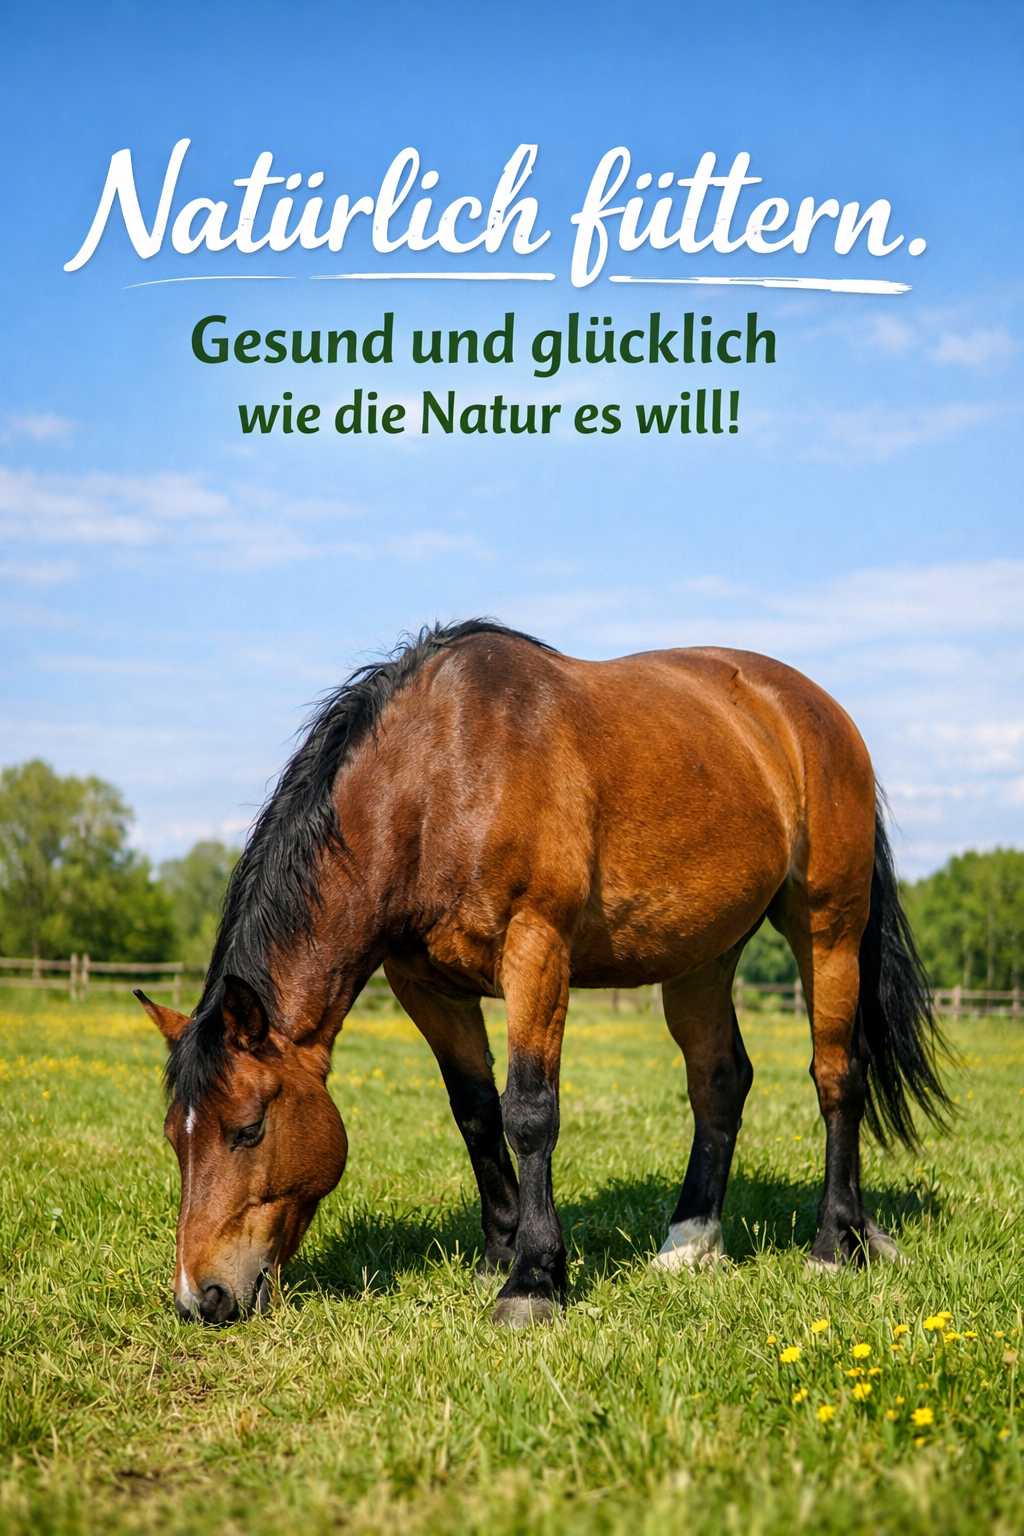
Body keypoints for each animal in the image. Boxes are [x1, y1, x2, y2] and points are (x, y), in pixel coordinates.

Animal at [135, 619, 949, 1327]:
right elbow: (474, 1111)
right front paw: (499, 1253)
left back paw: (836, 1242)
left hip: (828, 928)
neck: (441, 774)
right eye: (177, 1138)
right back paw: (691, 1243)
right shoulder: (425, 985)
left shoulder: (536, 949)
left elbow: (529, 1112)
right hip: (702, 957)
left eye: (247, 1130)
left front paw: (532, 1281)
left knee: (838, 1075)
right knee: (720, 1081)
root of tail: (815, 713)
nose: (201, 1297)